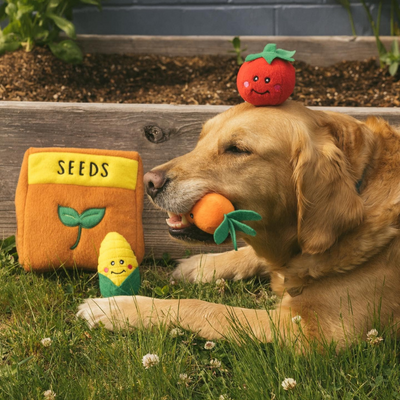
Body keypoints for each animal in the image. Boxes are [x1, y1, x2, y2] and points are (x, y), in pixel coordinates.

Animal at [77, 101, 400, 346]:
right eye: (201, 140)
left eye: (237, 149)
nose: (149, 182)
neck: (361, 186)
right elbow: (249, 254)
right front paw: (202, 265)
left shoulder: (310, 329)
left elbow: (206, 309)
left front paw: (120, 307)